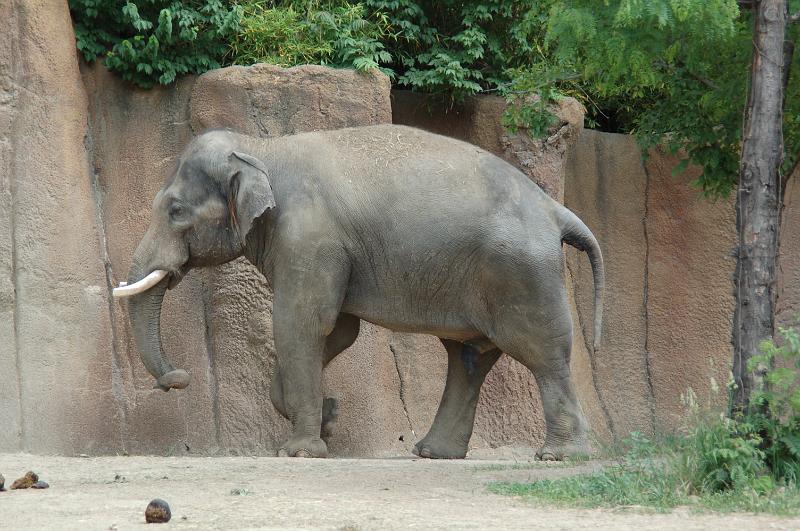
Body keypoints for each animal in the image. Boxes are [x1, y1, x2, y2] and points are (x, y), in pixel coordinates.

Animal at [114, 124, 604, 460]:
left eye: (176, 211)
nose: (178, 379)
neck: (261, 147)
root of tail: (555, 209)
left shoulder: (310, 239)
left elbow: (301, 323)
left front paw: (301, 449)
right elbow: (337, 331)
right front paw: (328, 417)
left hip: (522, 272)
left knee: (542, 353)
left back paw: (558, 456)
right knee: (468, 357)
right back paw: (433, 453)